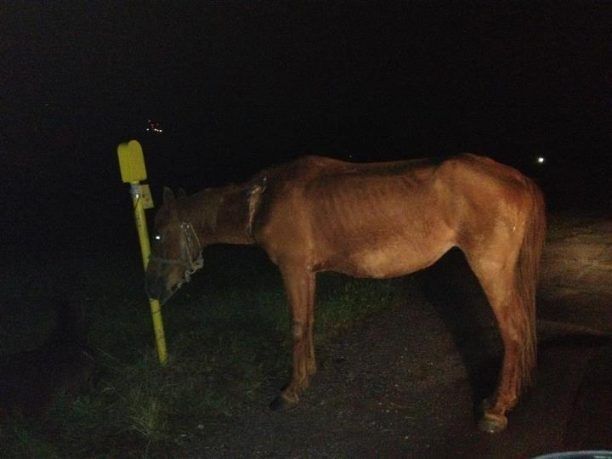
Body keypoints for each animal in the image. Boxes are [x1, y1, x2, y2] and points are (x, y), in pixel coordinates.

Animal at [147, 155, 544, 434]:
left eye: (157, 235)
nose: (152, 288)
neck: (260, 201)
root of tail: (517, 178)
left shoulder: (292, 269)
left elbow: (296, 326)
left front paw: (291, 390)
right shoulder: (307, 274)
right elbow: (308, 322)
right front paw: (307, 374)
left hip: (490, 268)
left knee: (512, 333)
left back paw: (495, 410)